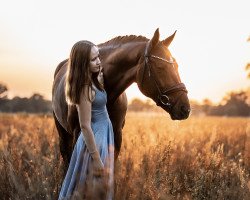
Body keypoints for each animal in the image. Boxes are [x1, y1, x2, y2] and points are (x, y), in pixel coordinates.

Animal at [52, 28, 189, 171]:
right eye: (160, 67)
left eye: (177, 66)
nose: (185, 108)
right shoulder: (79, 134)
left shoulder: (117, 136)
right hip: (63, 132)